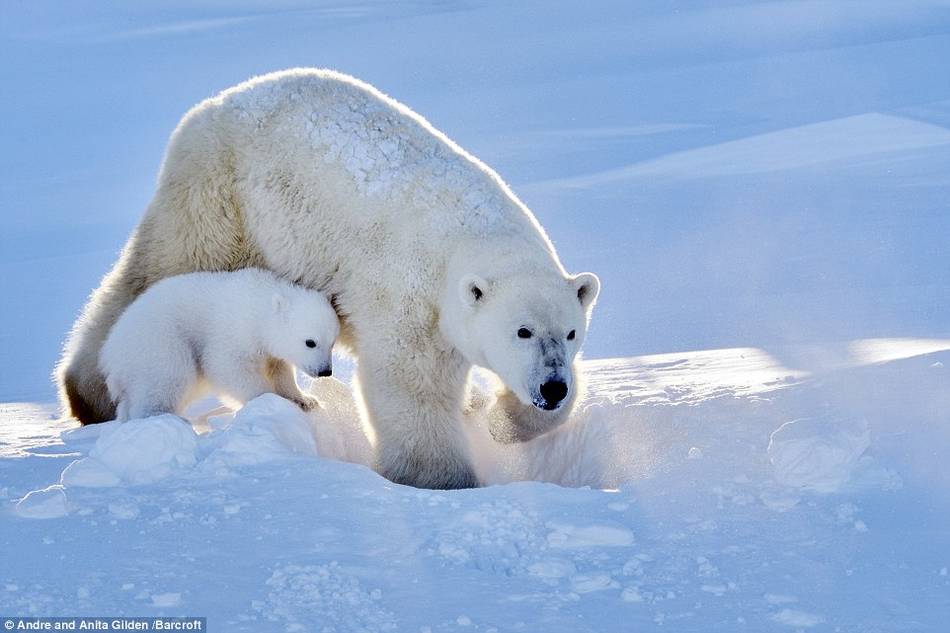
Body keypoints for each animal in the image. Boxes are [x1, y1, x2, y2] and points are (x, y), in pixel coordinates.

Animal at [57, 69, 604, 488]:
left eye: (571, 333)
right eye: (522, 331)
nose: (552, 386)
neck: (474, 235)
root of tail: (218, 101)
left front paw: (503, 421)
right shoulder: (408, 295)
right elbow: (410, 387)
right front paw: (442, 482)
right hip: (222, 198)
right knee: (164, 268)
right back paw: (91, 394)